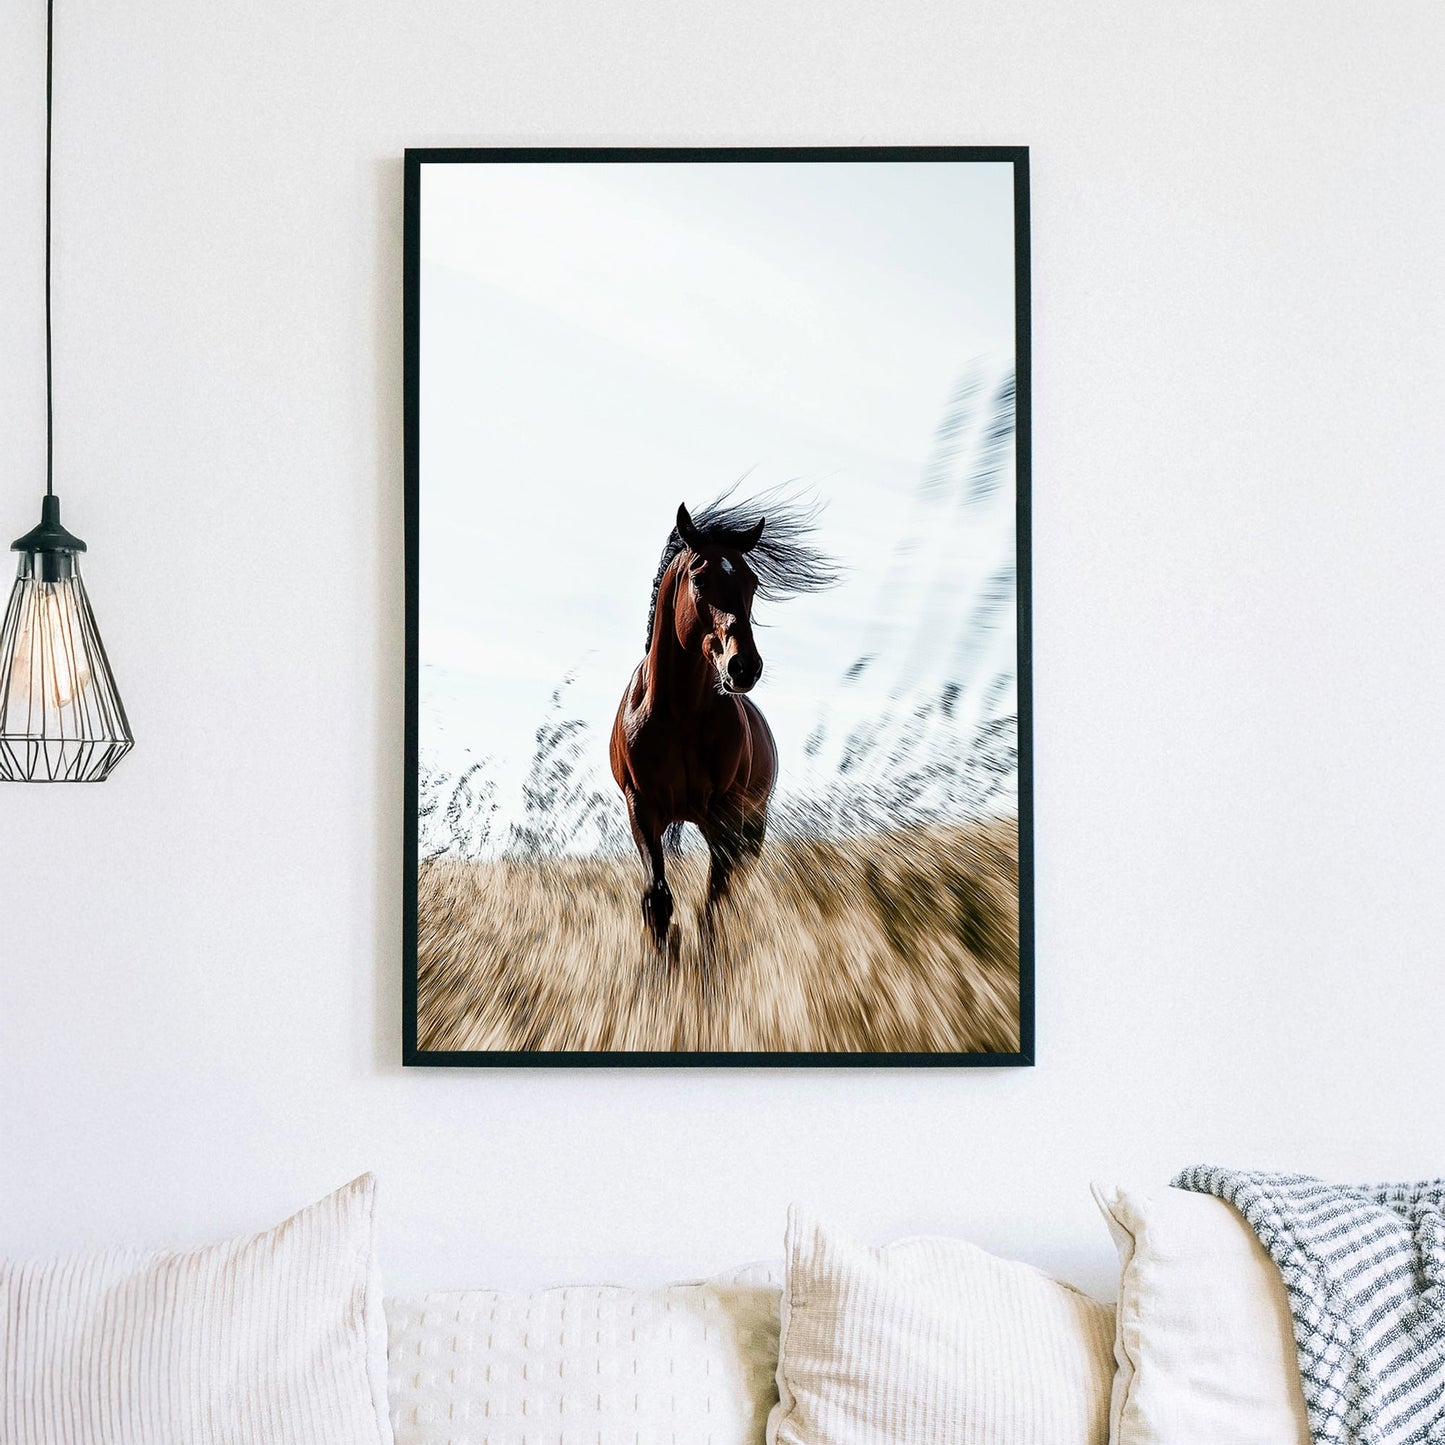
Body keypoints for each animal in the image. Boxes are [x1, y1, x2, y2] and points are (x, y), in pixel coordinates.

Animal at [609, 491, 836, 952]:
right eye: (699, 579)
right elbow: (657, 899)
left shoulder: (725, 817)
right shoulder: (642, 808)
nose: (744, 666)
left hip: (750, 824)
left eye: (752, 581)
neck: (677, 715)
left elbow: (713, 905)